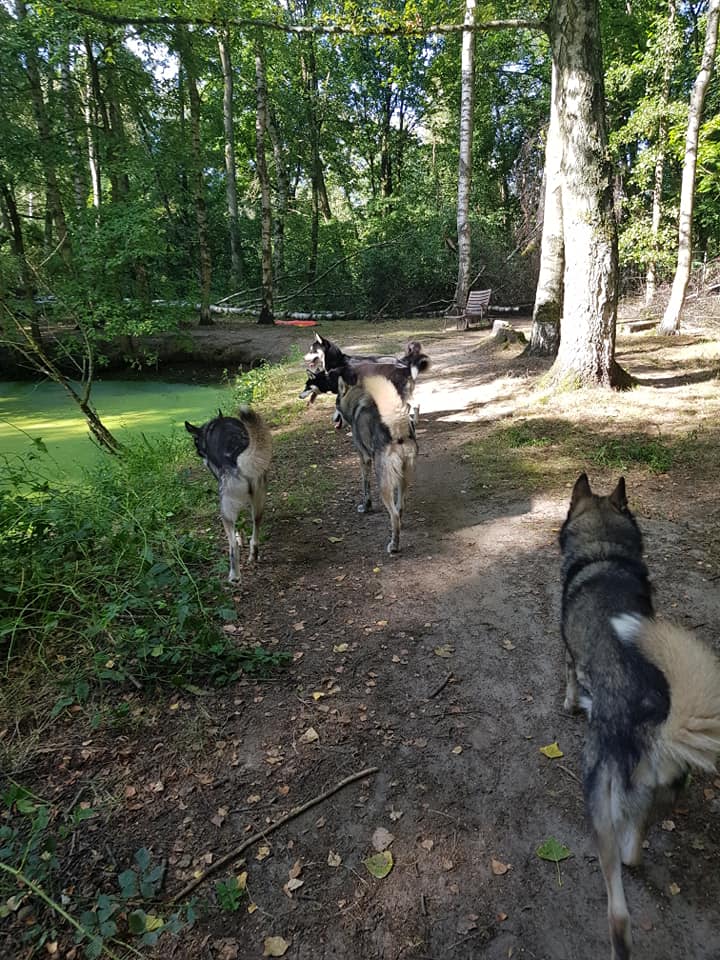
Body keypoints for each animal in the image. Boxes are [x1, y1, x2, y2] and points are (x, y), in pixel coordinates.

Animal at [186, 406, 272, 580]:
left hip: (225, 513)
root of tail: (238, 457)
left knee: (233, 547)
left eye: (196, 443)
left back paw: (234, 576)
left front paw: (240, 539)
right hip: (259, 504)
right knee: (255, 531)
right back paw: (253, 554)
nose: (199, 453)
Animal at [334, 376, 416, 556]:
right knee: (399, 508)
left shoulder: (363, 459)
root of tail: (397, 428)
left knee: (394, 515)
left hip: (384, 484)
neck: (357, 401)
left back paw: (394, 546)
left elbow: (365, 486)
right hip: (404, 478)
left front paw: (366, 506)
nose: (333, 417)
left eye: (335, 402)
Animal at [560, 474, 720, 960]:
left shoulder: (568, 655)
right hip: (651, 799)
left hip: (599, 804)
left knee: (618, 910)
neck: (603, 551)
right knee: (634, 851)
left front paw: (570, 704)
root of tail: (655, 730)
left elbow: (568, 681)